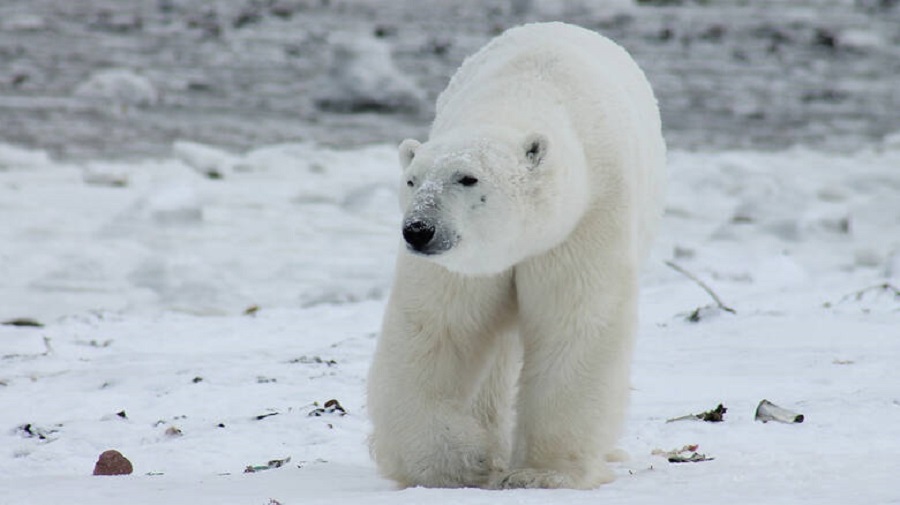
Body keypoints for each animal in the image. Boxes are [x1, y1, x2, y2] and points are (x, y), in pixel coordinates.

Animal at [364, 22, 660, 488]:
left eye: (467, 178)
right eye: (412, 180)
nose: (418, 230)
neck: (523, 94)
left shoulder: (584, 220)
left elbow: (574, 324)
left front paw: (541, 473)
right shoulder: (463, 265)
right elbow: (436, 329)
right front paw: (458, 461)